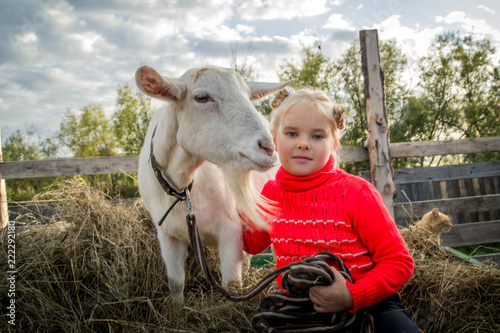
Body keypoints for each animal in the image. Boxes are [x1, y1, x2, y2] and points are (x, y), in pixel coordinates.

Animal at [136, 65, 292, 304]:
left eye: (247, 95)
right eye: (201, 97)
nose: (268, 147)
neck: (183, 188)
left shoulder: (230, 230)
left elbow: (232, 284)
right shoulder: (167, 235)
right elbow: (175, 283)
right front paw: (177, 311)